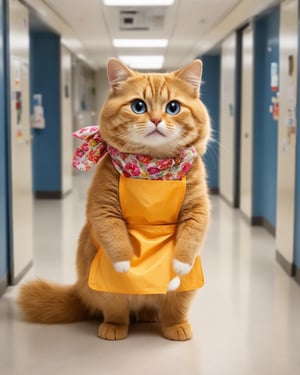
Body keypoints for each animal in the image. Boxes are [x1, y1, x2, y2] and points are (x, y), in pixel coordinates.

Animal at [17, 58, 210, 340]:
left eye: (173, 107)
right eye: (138, 106)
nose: (156, 119)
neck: (152, 170)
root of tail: (79, 292)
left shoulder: (197, 207)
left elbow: (190, 238)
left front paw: (180, 265)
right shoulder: (102, 205)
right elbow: (114, 236)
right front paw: (126, 265)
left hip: (183, 292)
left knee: (173, 309)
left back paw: (170, 323)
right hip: (102, 288)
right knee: (116, 311)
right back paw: (113, 327)